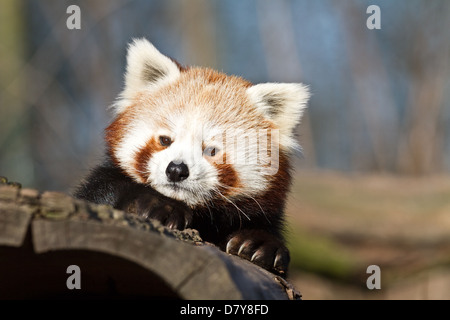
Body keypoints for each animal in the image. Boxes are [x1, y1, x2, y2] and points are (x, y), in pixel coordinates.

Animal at [75, 38, 312, 276]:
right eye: (165, 140)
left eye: (211, 150)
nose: (176, 170)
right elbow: (99, 193)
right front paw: (158, 205)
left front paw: (259, 243)